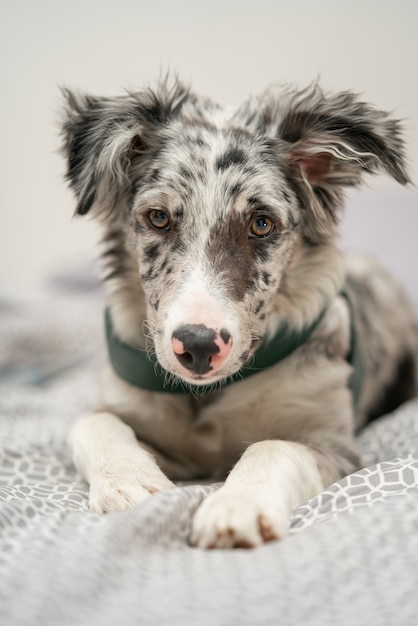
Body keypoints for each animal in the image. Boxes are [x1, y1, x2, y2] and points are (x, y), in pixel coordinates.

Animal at [59, 77, 418, 544]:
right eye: (158, 217)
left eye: (261, 224)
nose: (197, 346)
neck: (206, 396)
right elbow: (92, 422)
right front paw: (131, 484)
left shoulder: (335, 446)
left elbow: (273, 446)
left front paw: (236, 506)